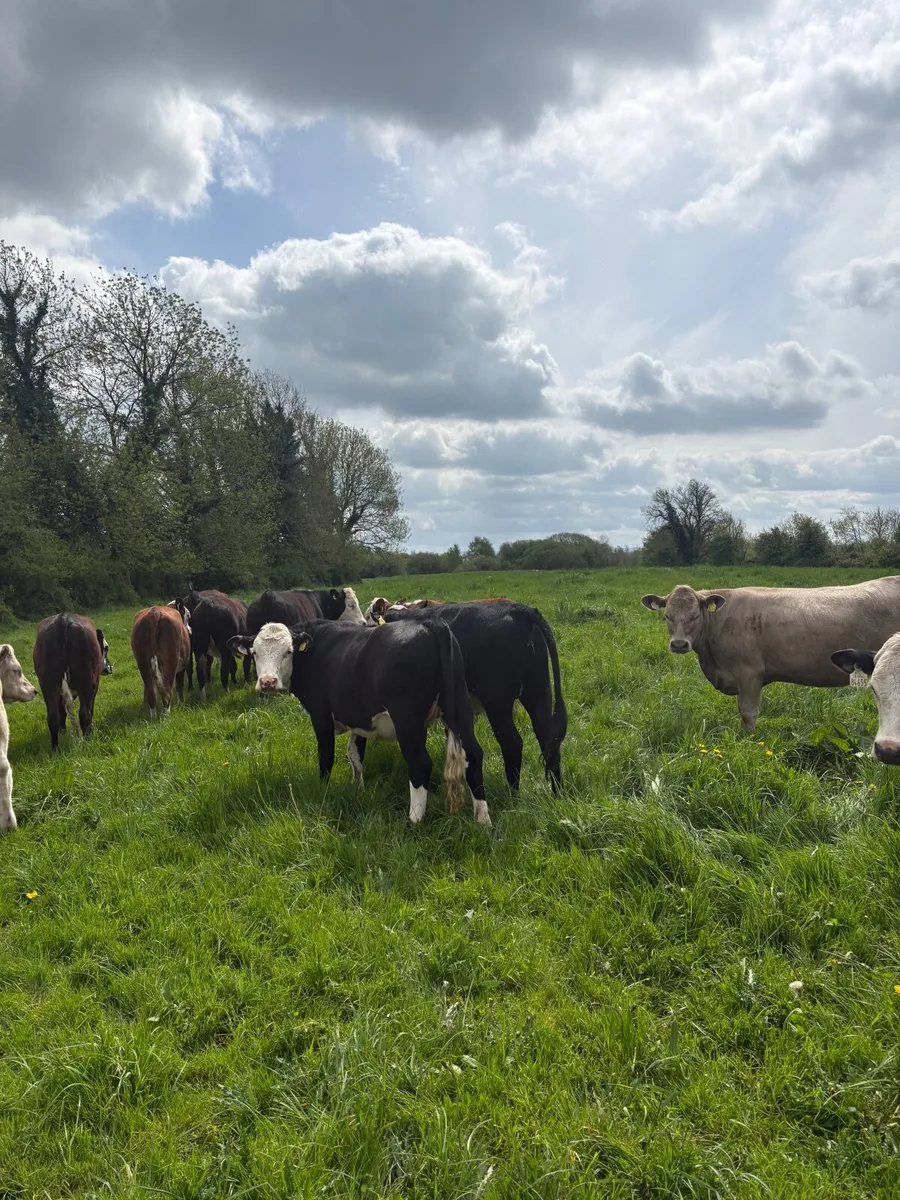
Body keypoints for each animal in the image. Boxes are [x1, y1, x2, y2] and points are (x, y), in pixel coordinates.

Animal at [32, 613, 113, 750]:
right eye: (106, 648)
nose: (109, 667)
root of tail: (63, 618)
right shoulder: (95, 686)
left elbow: (62, 712)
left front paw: (63, 732)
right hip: (87, 682)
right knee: (85, 714)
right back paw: (88, 740)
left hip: (49, 684)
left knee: (53, 716)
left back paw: (55, 749)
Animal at [227, 618, 490, 826]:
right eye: (255, 652)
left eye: (288, 651)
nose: (267, 682)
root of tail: (430, 623)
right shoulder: (360, 719)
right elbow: (354, 754)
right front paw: (358, 789)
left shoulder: (320, 714)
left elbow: (326, 758)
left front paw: (324, 790)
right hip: (458, 709)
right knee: (473, 755)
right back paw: (483, 821)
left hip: (407, 720)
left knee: (420, 763)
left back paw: (413, 821)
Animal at [381, 600, 566, 792]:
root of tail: (518, 609)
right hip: (539, 691)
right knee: (548, 741)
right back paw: (557, 792)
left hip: (497, 701)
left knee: (512, 743)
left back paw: (512, 792)